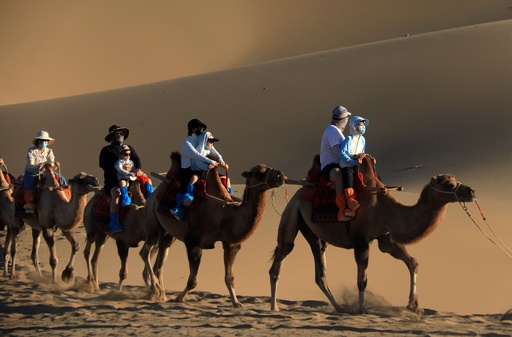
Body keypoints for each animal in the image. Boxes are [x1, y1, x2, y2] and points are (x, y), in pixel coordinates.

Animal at [138, 152, 286, 304]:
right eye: (260, 172)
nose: (281, 175)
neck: (224, 214)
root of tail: (156, 190)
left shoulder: (230, 244)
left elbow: (230, 278)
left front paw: (236, 303)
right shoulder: (194, 241)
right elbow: (193, 281)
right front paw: (179, 298)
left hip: (168, 233)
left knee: (160, 261)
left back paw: (160, 293)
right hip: (152, 219)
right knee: (145, 252)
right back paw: (155, 288)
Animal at [270, 154, 474, 314]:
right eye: (449, 184)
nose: (471, 191)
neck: (386, 209)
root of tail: (299, 192)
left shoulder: (386, 238)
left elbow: (413, 262)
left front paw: (414, 305)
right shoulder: (361, 240)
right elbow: (362, 280)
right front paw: (362, 310)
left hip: (312, 232)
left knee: (320, 269)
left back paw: (340, 308)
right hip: (292, 212)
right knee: (282, 255)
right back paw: (274, 307)